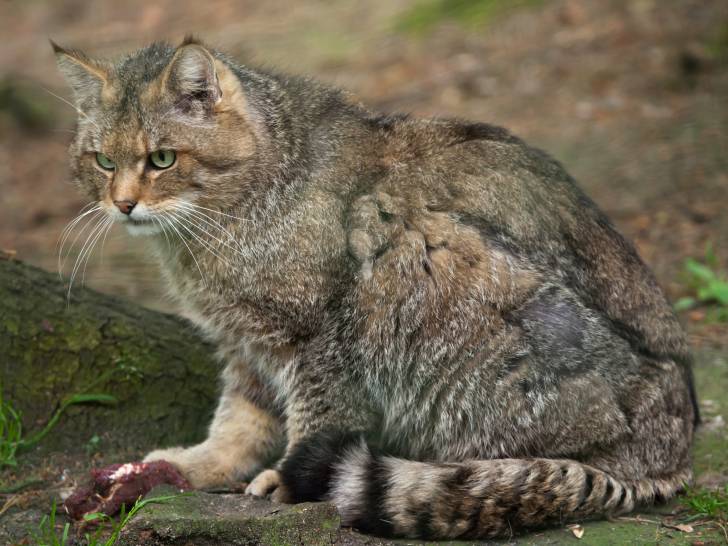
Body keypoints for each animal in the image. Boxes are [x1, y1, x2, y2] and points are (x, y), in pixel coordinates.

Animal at [54, 36, 696, 536]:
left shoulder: (315, 335)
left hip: (420, 248)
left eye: (162, 158)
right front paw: (202, 465)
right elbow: (240, 419)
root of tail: (673, 457)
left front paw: (286, 480)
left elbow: (314, 413)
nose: (123, 204)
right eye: (103, 162)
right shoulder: (245, 339)